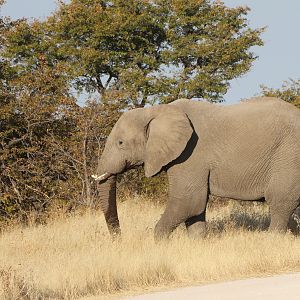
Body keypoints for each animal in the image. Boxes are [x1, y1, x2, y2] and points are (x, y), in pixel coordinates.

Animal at [92, 96, 300, 239]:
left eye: (120, 143)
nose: (119, 239)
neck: (157, 111)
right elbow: (195, 208)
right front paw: (198, 243)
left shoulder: (191, 155)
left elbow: (189, 201)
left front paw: (159, 245)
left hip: (288, 156)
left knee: (280, 203)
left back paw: (272, 240)